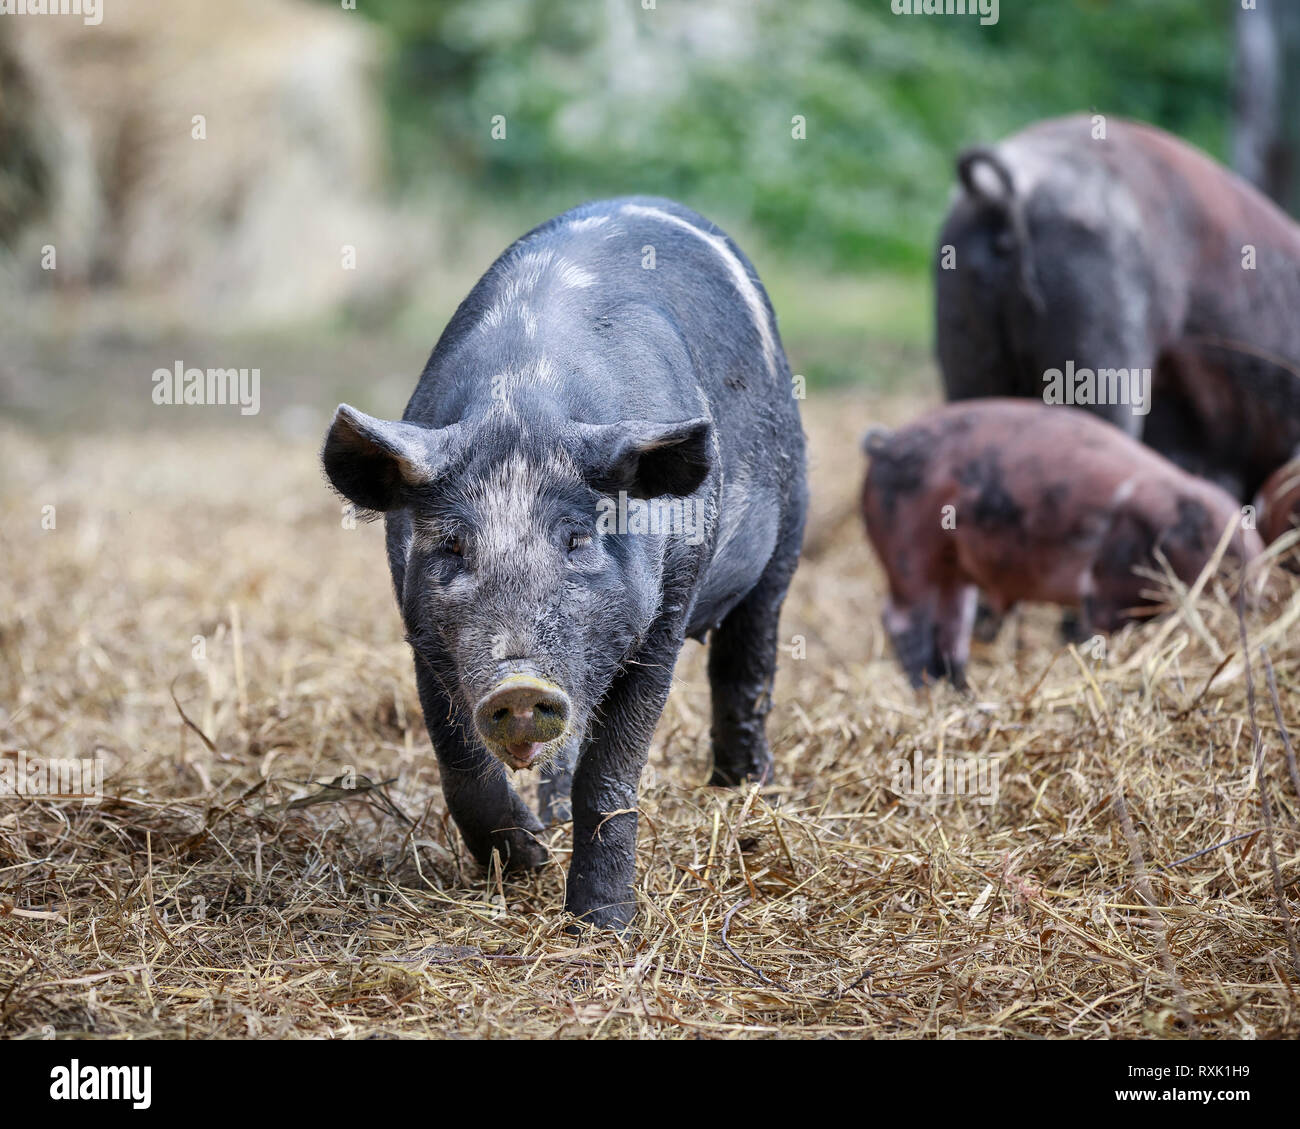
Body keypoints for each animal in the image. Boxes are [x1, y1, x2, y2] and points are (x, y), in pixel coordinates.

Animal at [863, 400, 1258, 691]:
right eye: (1197, 536)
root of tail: (885, 445)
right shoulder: (1109, 585)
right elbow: (1103, 623)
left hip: (952, 570)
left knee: (952, 624)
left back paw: (962, 691)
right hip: (907, 554)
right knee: (900, 619)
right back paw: (925, 690)